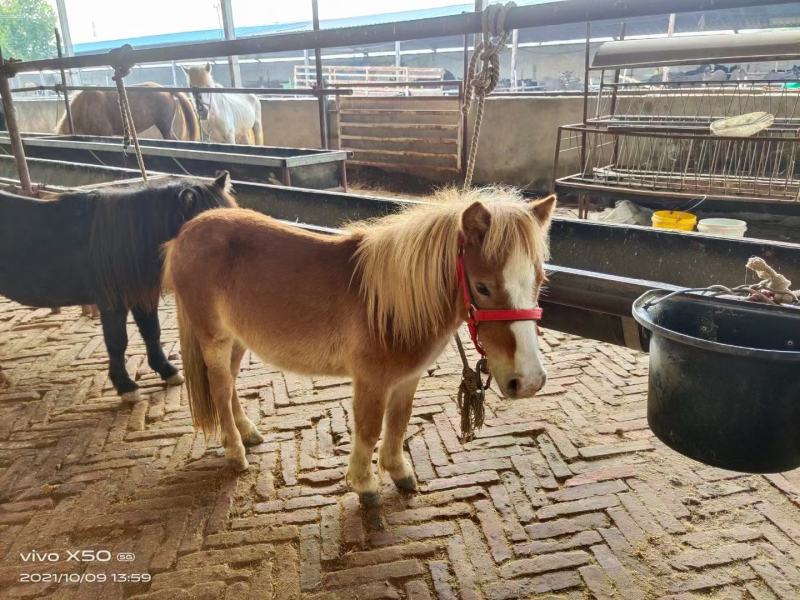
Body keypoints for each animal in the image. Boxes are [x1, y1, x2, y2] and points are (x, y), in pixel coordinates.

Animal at [0, 172, 236, 401]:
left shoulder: (141, 296)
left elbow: (152, 332)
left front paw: (167, 371)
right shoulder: (112, 303)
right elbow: (117, 342)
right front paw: (126, 386)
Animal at [163, 187, 556, 505]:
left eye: (540, 279)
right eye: (483, 286)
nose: (528, 381)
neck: (392, 306)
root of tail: (187, 232)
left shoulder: (407, 379)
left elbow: (398, 424)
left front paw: (399, 472)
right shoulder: (372, 382)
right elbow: (368, 430)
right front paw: (364, 485)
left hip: (238, 340)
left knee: (229, 386)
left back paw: (249, 434)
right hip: (214, 339)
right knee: (219, 388)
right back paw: (235, 451)